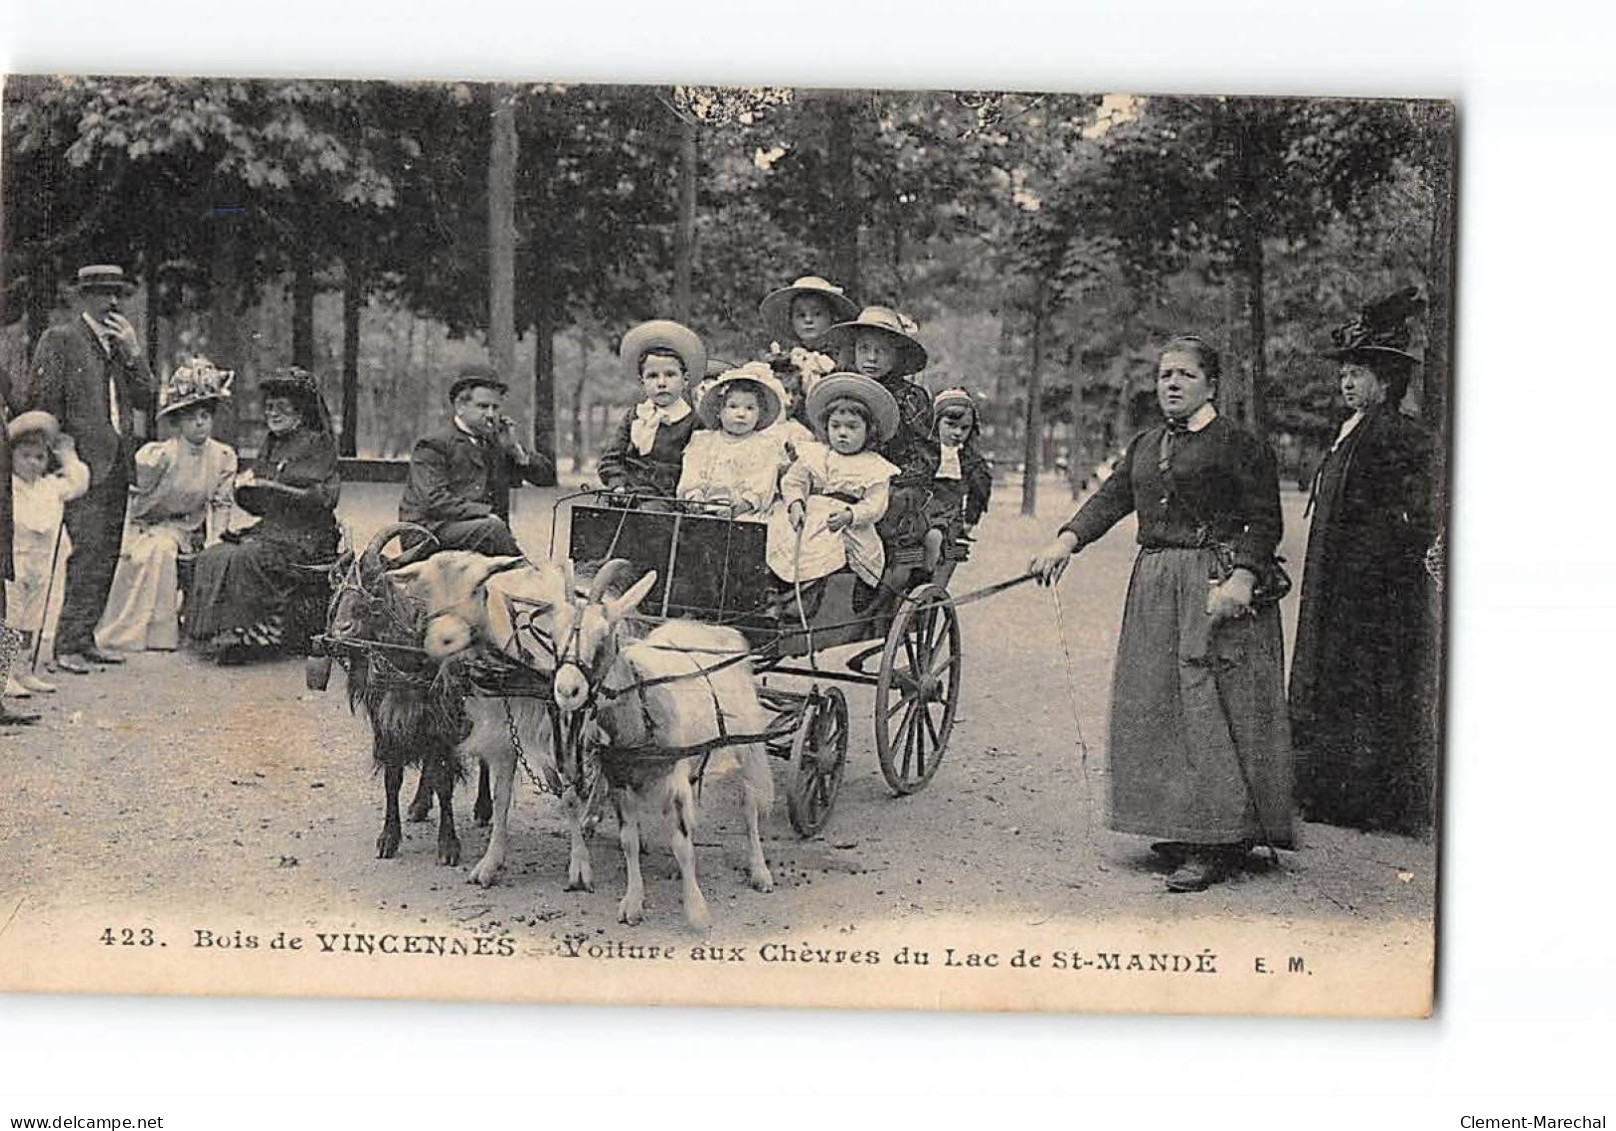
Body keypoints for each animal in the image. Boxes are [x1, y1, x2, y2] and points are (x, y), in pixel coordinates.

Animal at [552, 565, 772, 930]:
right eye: (554, 635)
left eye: (604, 636)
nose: (567, 691)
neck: (641, 706)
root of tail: (718, 630)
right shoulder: (620, 780)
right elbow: (628, 841)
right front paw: (632, 903)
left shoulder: (675, 776)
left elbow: (682, 844)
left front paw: (696, 911)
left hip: (746, 743)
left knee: (750, 804)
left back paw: (760, 871)